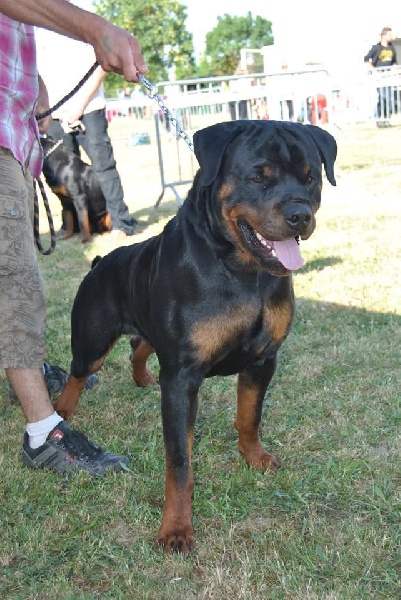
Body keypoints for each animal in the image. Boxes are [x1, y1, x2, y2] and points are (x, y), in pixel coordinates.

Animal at [55, 120, 337, 553]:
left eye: (311, 178)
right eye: (258, 177)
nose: (300, 214)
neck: (242, 272)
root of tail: (100, 262)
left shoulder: (262, 360)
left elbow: (249, 417)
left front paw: (254, 458)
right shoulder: (182, 378)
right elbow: (180, 462)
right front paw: (175, 528)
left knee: (137, 348)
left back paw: (142, 379)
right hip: (93, 339)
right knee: (79, 372)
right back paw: (64, 409)